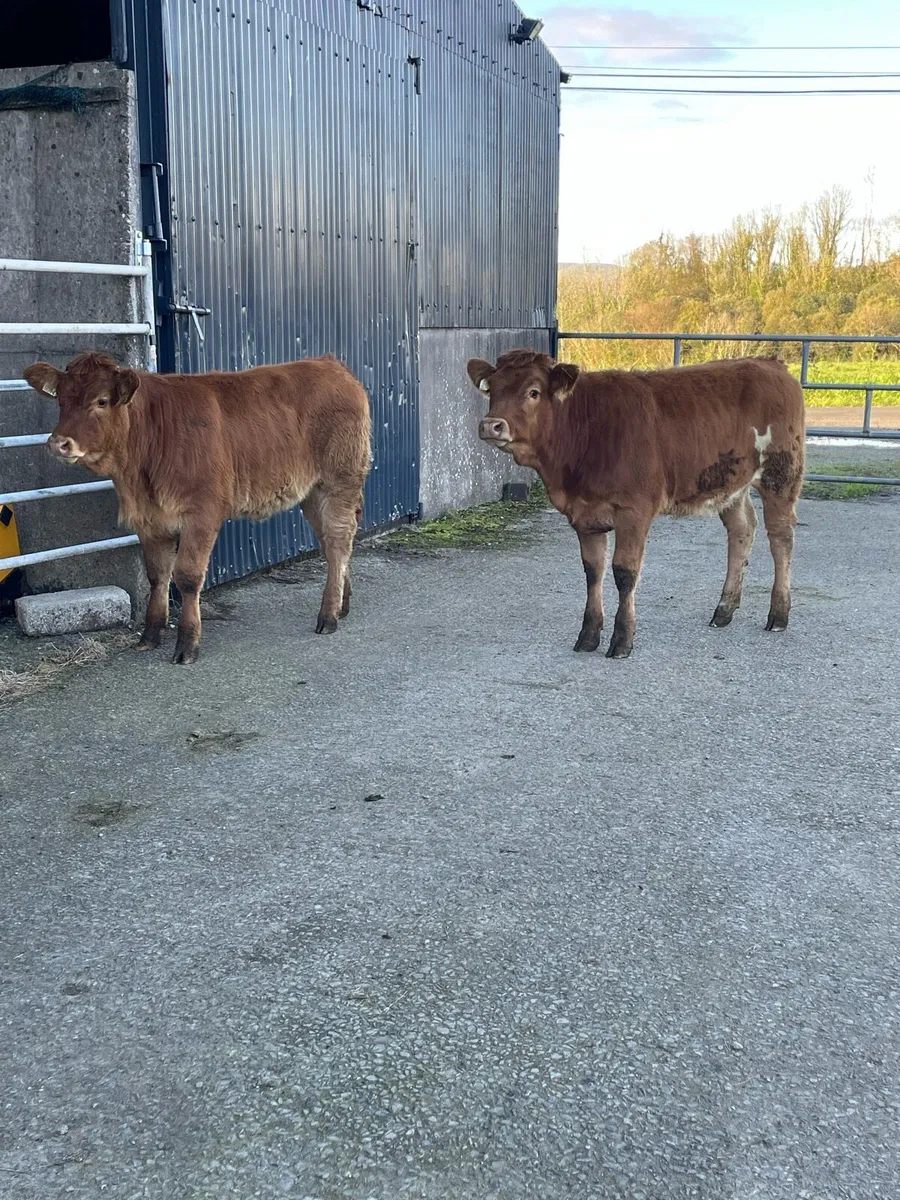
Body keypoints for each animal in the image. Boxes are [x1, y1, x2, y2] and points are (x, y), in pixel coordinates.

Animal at [24, 353, 371, 664]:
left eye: (101, 401)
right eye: (61, 400)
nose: (59, 443)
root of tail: (330, 364)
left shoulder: (202, 512)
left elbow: (187, 576)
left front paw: (187, 643)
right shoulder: (151, 520)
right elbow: (157, 576)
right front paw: (150, 635)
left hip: (339, 481)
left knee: (338, 542)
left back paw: (328, 615)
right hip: (312, 492)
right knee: (331, 544)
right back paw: (342, 604)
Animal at [467, 350, 805, 659]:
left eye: (533, 392)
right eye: (492, 389)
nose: (491, 425)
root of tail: (768, 362)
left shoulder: (634, 511)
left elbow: (624, 572)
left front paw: (622, 640)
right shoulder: (585, 514)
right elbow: (593, 571)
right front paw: (588, 635)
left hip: (781, 472)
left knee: (781, 538)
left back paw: (779, 614)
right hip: (731, 484)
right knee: (742, 529)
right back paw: (723, 609)